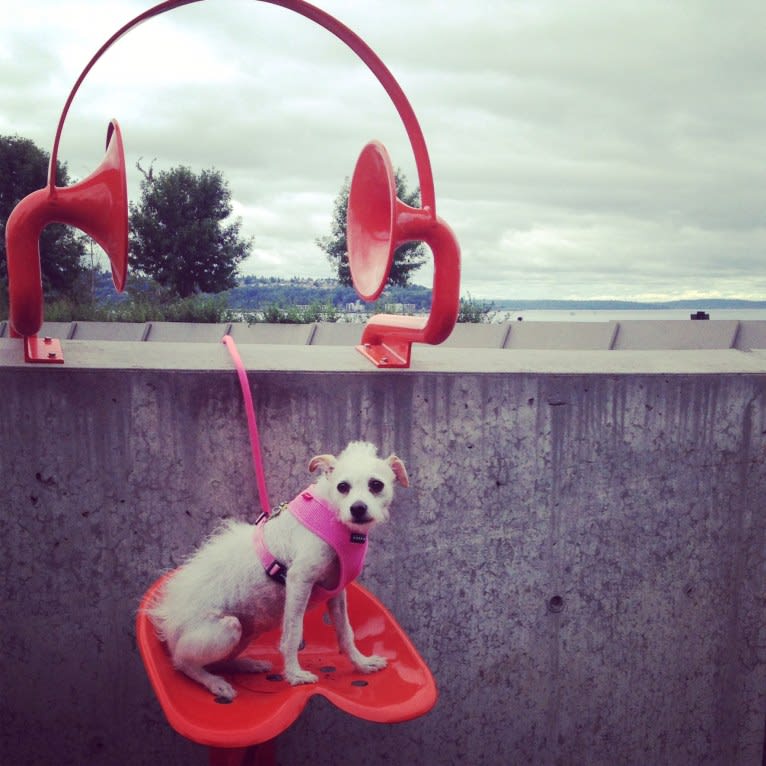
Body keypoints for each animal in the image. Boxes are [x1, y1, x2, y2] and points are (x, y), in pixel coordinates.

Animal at [145, 444, 408, 704]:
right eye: (342, 487)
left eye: (376, 485)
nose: (358, 508)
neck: (333, 517)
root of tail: (167, 620)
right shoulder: (299, 580)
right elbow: (292, 634)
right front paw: (294, 675)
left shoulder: (336, 591)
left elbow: (345, 632)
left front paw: (361, 663)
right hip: (226, 629)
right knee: (183, 663)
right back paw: (214, 682)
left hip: (245, 632)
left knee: (217, 662)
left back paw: (246, 664)